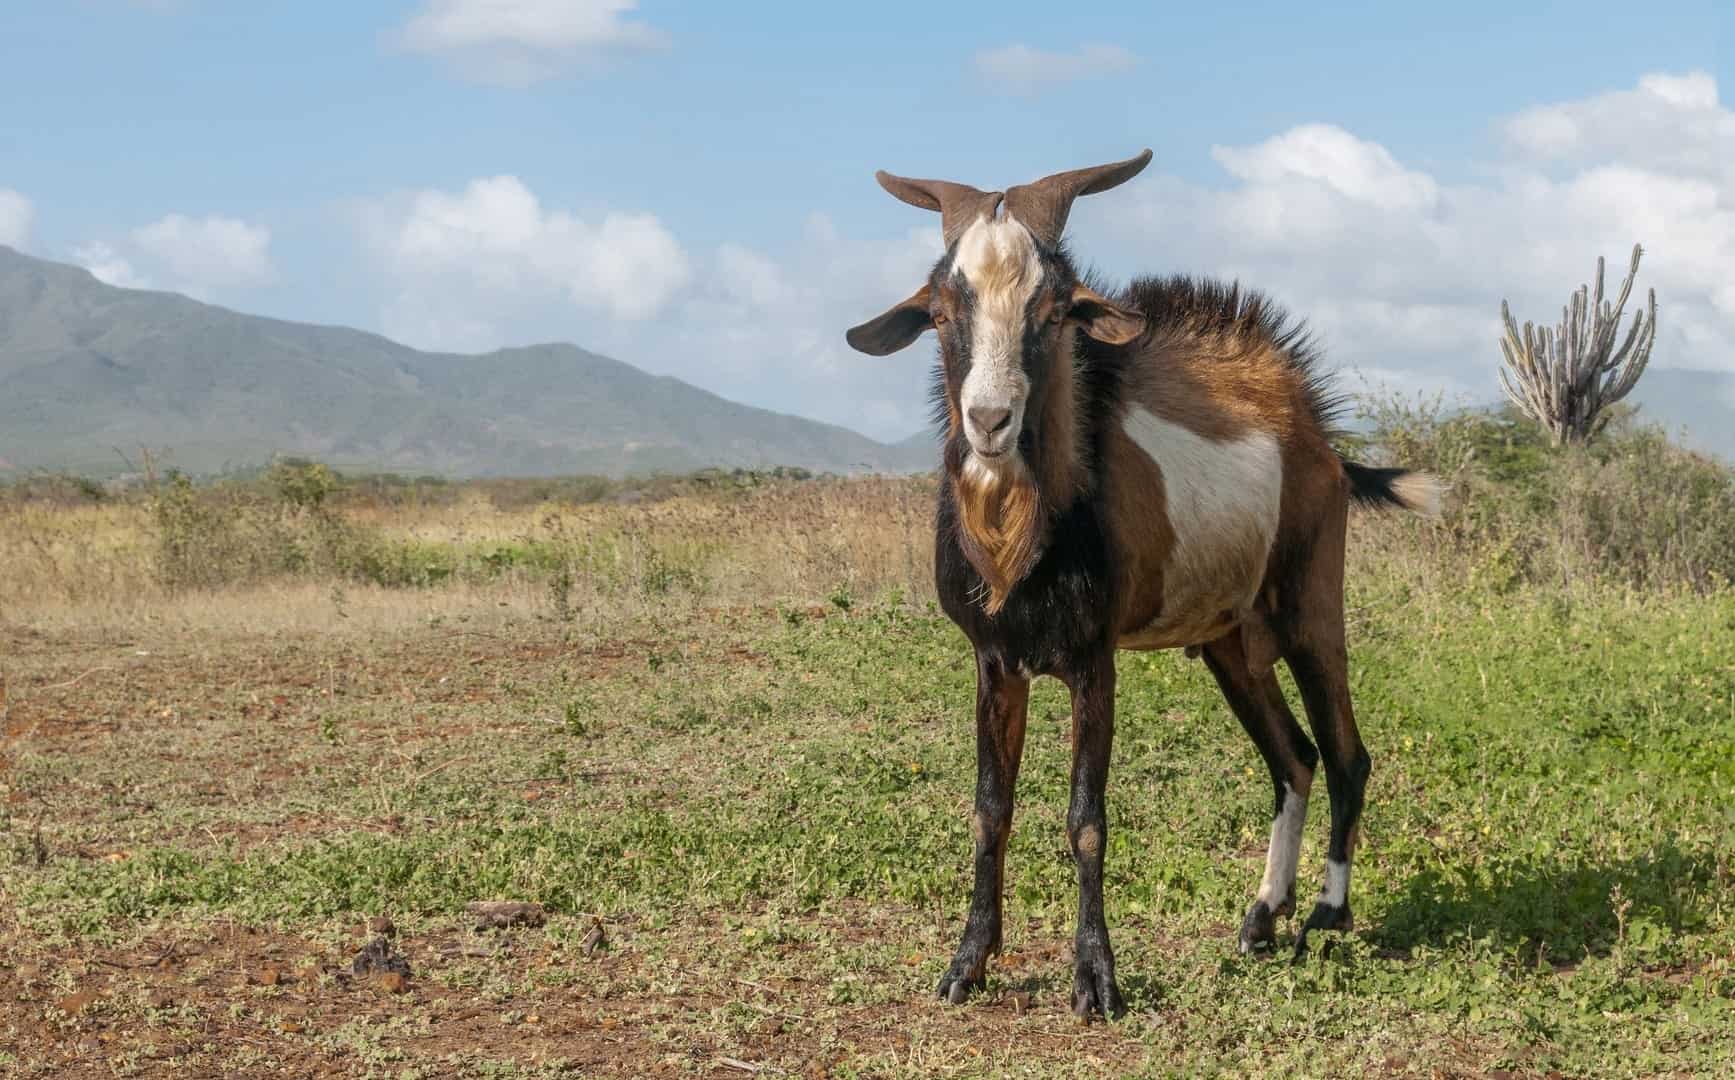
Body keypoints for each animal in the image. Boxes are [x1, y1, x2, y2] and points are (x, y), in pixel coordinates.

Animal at [845, 150, 1438, 1019]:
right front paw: (966, 965)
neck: (1024, 538)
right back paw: (1261, 918)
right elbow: (990, 811)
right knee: (1291, 758)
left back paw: (1325, 917)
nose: (989, 422)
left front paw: (1095, 980)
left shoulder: (1094, 659)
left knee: (1344, 753)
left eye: (1055, 309)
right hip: (1231, 642)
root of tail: (1319, 440)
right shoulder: (994, 660)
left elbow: (1085, 817)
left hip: (1309, 607)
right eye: (942, 308)